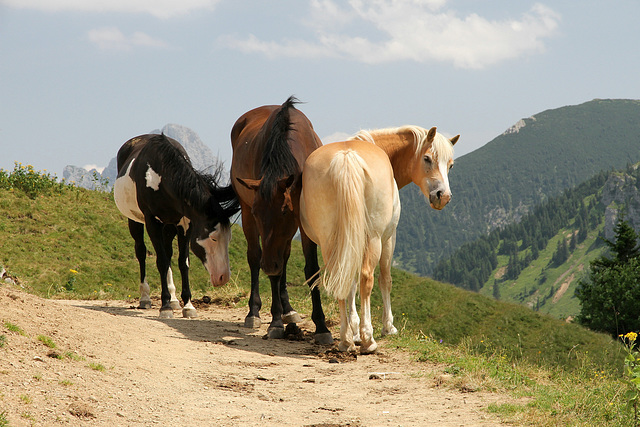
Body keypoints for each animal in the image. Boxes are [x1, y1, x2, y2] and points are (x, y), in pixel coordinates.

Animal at [114, 134, 240, 318]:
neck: (160, 176)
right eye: (213, 238)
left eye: (229, 238)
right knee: (141, 252)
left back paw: (174, 300)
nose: (223, 277)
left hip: (169, 227)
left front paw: (188, 305)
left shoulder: (185, 224)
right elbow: (161, 261)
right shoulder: (152, 222)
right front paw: (165, 306)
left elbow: (183, 262)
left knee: (168, 253)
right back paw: (145, 298)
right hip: (135, 221)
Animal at [231, 97, 332, 344]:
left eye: (285, 211)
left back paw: (288, 310)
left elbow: (311, 269)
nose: (269, 264)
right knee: (255, 257)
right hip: (245, 212)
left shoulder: (302, 222)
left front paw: (321, 326)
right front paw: (275, 322)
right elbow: (273, 273)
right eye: (257, 212)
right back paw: (254, 312)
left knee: (282, 259)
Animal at [302, 127, 458, 354]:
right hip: (375, 240)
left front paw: (354, 330)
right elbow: (385, 279)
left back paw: (345, 339)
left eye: (450, 165)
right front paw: (387, 327)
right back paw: (368, 339)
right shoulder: (389, 238)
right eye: (427, 158)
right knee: (368, 278)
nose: (443, 196)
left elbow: (350, 284)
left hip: (331, 241)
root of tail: (347, 156)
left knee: (341, 278)